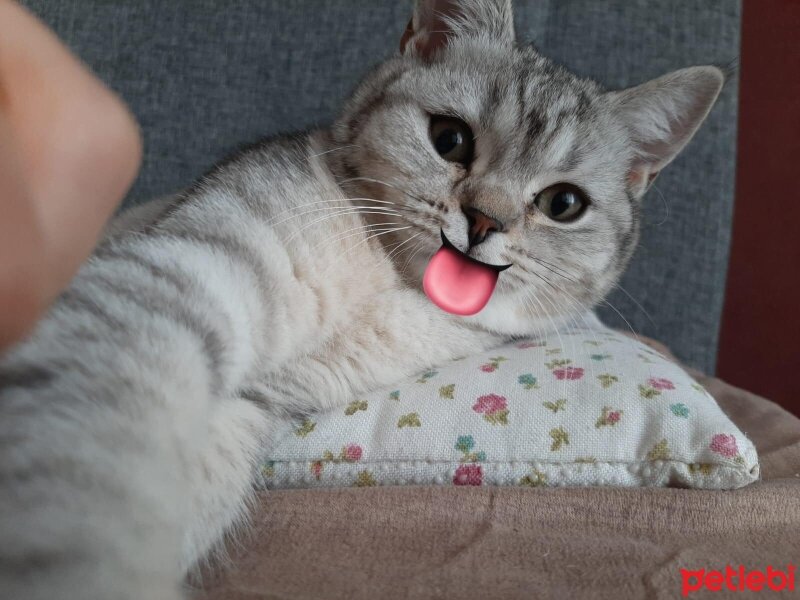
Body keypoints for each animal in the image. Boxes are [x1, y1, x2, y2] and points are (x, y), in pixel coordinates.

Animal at [0, 1, 724, 600]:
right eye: (450, 138)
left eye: (564, 204)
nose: (484, 220)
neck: (385, 283)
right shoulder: (176, 272)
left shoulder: (261, 401)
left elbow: (200, 481)